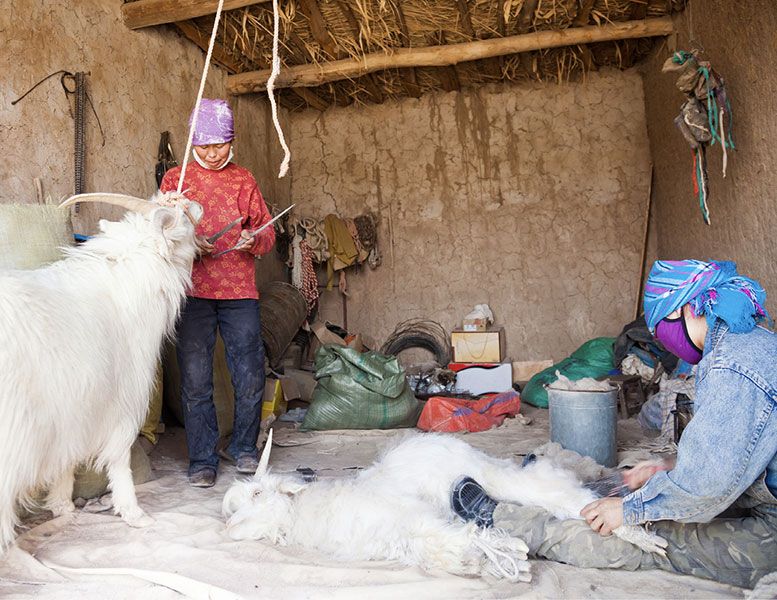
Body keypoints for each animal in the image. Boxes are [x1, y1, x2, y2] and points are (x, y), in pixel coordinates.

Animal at [0, 193, 203, 552]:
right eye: (181, 215)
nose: (198, 204)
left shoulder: (72, 408)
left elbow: (65, 458)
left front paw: (62, 506)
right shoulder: (119, 400)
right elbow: (119, 458)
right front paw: (134, 513)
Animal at [221, 432, 664, 580]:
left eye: (258, 494)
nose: (227, 525)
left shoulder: (415, 519)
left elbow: (465, 538)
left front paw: (507, 556)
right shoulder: (405, 536)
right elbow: (451, 549)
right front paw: (499, 561)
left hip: (494, 475)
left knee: (564, 495)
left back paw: (639, 533)